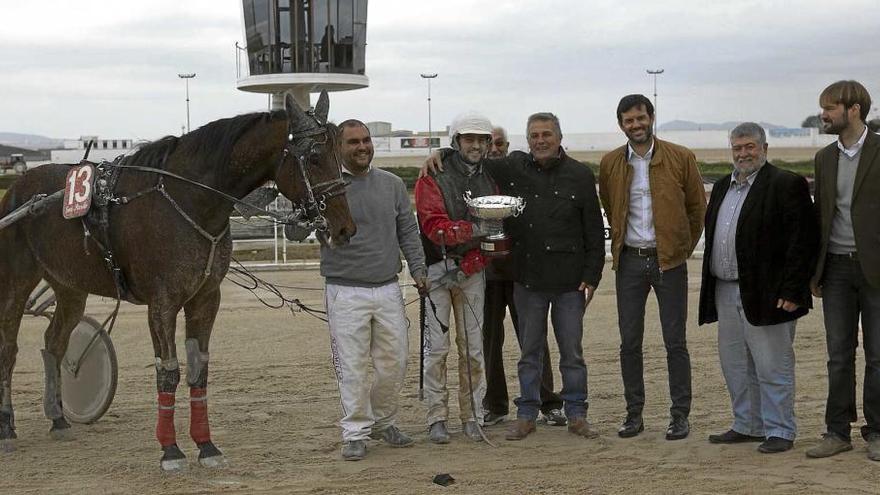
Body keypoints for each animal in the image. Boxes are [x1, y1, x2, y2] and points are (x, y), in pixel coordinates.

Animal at [1, 92, 358, 468]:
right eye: (315, 157)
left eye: (339, 155)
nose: (344, 228)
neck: (191, 200)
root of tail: (17, 190)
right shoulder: (162, 304)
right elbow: (168, 371)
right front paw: (170, 450)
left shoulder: (205, 298)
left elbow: (199, 369)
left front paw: (206, 445)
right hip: (16, 281)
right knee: (9, 348)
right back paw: (8, 426)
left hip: (70, 287)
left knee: (54, 343)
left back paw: (58, 418)